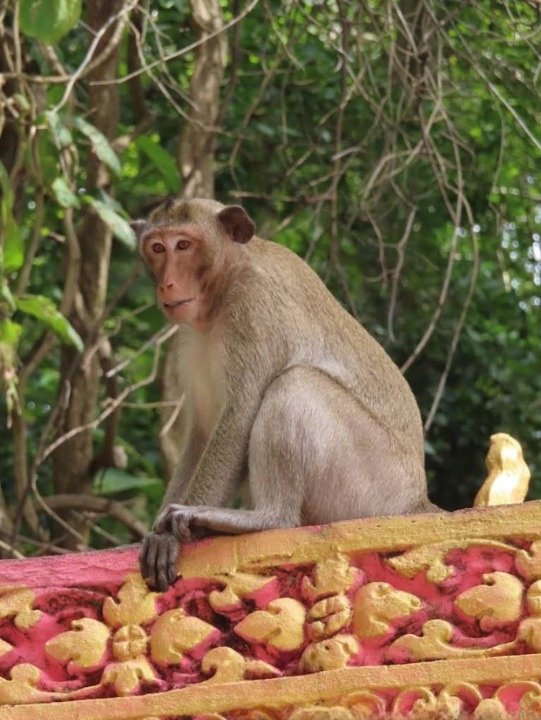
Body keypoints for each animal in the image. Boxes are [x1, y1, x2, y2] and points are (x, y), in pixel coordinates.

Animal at [134, 198, 437, 591]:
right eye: (157, 248)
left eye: (183, 245)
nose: (168, 284)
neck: (223, 289)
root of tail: (416, 499)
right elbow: (202, 432)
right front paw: (155, 536)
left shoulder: (253, 309)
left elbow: (239, 416)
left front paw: (170, 536)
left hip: (373, 482)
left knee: (296, 383)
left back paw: (265, 518)